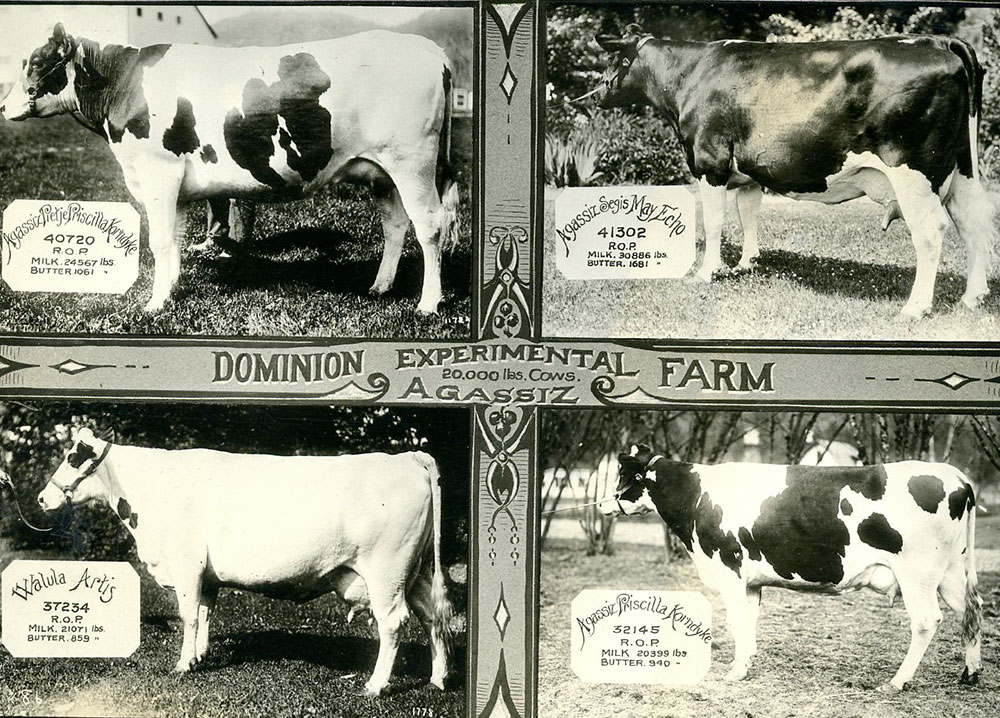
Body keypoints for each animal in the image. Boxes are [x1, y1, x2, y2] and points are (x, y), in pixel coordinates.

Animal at [0, 25, 460, 314]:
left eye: (37, 61)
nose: (4, 107)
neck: (122, 84)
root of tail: (428, 48)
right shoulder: (176, 183)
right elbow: (176, 238)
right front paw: (171, 291)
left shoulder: (158, 173)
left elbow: (160, 242)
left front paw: (153, 304)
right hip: (381, 170)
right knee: (396, 225)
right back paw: (380, 287)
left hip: (414, 162)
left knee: (430, 226)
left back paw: (428, 304)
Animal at [38, 430, 454, 696]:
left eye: (72, 458)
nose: (42, 498)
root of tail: (408, 458)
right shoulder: (206, 574)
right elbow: (205, 612)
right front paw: (200, 656)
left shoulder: (186, 563)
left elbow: (188, 616)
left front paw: (183, 664)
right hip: (416, 571)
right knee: (432, 618)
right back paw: (438, 679)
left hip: (386, 571)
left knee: (393, 623)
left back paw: (375, 686)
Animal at [588, 25, 996, 318]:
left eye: (612, 59)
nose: (596, 95)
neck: (691, 74)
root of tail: (939, 41)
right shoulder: (748, 170)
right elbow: (748, 212)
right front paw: (747, 263)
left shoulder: (710, 160)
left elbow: (715, 220)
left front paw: (707, 271)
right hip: (963, 168)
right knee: (973, 222)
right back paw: (973, 296)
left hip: (912, 170)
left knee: (931, 231)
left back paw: (915, 308)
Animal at [600, 448, 984, 696]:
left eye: (623, 475)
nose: (603, 504)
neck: (696, 497)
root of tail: (956, 476)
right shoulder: (751, 581)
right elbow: (748, 621)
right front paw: (746, 663)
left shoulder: (729, 568)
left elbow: (736, 620)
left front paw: (734, 671)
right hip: (952, 571)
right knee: (971, 610)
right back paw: (971, 673)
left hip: (917, 573)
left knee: (927, 621)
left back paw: (896, 682)